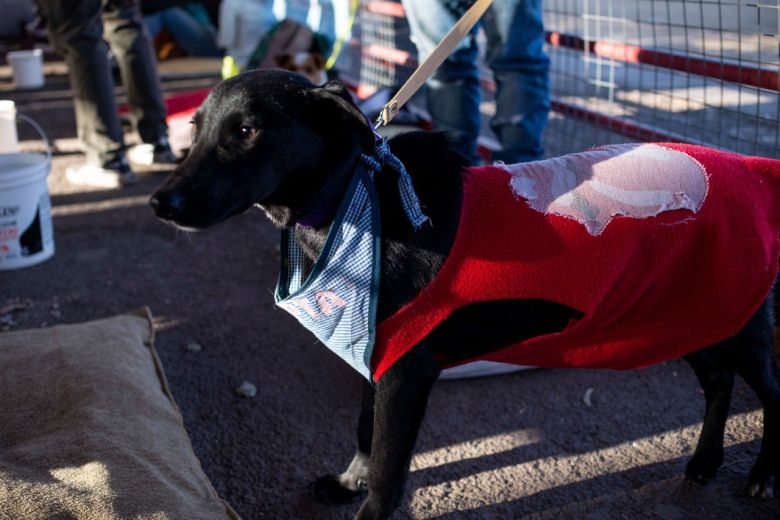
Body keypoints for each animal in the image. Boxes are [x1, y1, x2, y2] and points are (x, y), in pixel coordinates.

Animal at [149, 70, 776, 520]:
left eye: (248, 131)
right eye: (196, 129)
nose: (160, 204)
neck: (356, 205)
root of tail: (753, 165)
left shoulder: (407, 370)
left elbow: (388, 470)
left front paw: (366, 501)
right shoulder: (377, 353)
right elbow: (364, 432)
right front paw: (348, 482)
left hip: (737, 322)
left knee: (769, 390)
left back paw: (761, 476)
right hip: (686, 314)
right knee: (719, 382)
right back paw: (704, 462)